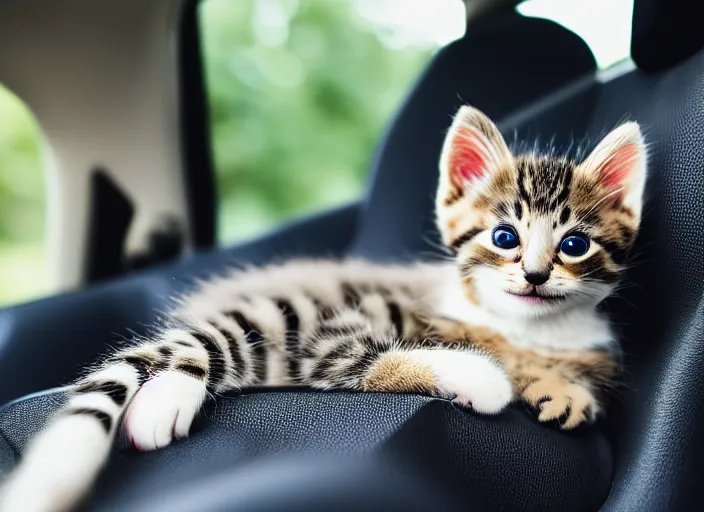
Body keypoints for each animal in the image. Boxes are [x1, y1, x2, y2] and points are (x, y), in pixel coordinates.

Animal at [0, 105, 648, 512]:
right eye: (505, 236)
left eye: (574, 245)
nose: (535, 275)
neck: (529, 326)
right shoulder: (367, 330)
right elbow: (421, 356)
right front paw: (506, 378)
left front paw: (566, 387)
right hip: (286, 322)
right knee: (207, 347)